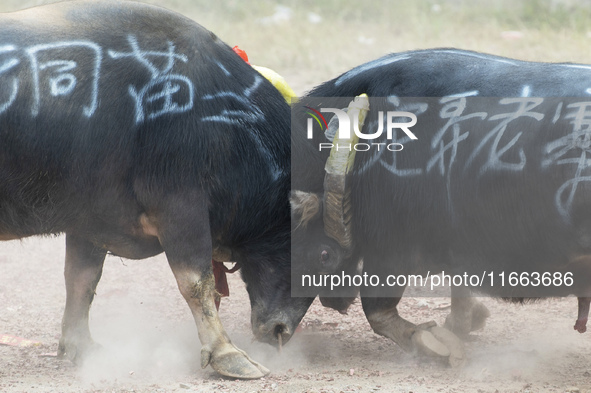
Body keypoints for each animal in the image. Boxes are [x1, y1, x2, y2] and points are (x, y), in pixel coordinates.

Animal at [0, 0, 312, 380]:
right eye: (324, 252)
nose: (281, 330)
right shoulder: (181, 207)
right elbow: (196, 282)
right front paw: (227, 353)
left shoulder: (90, 219)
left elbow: (81, 279)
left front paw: (81, 347)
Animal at [292, 49, 591, 362]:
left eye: (324, 255)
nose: (275, 329)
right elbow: (459, 295)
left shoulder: (390, 250)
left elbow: (378, 312)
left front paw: (436, 345)